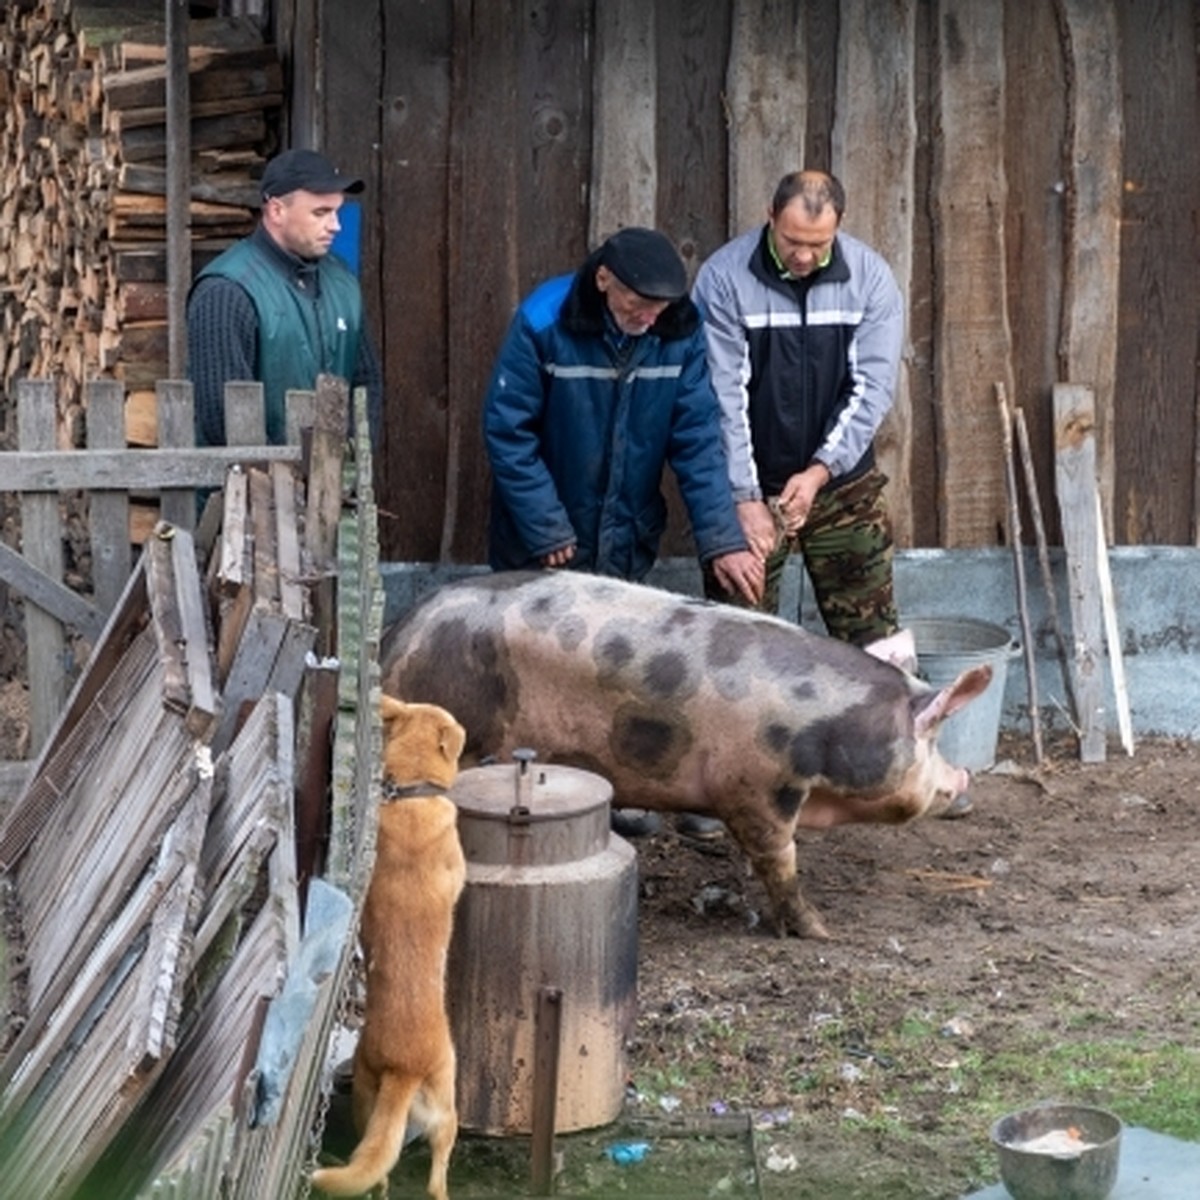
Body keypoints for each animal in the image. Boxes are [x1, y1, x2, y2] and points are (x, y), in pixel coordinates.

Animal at [312, 696, 465, 1200]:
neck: (410, 795)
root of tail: (404, 1068)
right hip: (447, 1111)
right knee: (435, 1181)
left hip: (368, 1102)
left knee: (377, 1168)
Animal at [379, 571, 988, 936]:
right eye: (934, 736)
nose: (963, 778)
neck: (827, 725)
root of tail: (401, 634)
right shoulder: (755, 784)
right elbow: (779, 858)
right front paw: (818, 930)